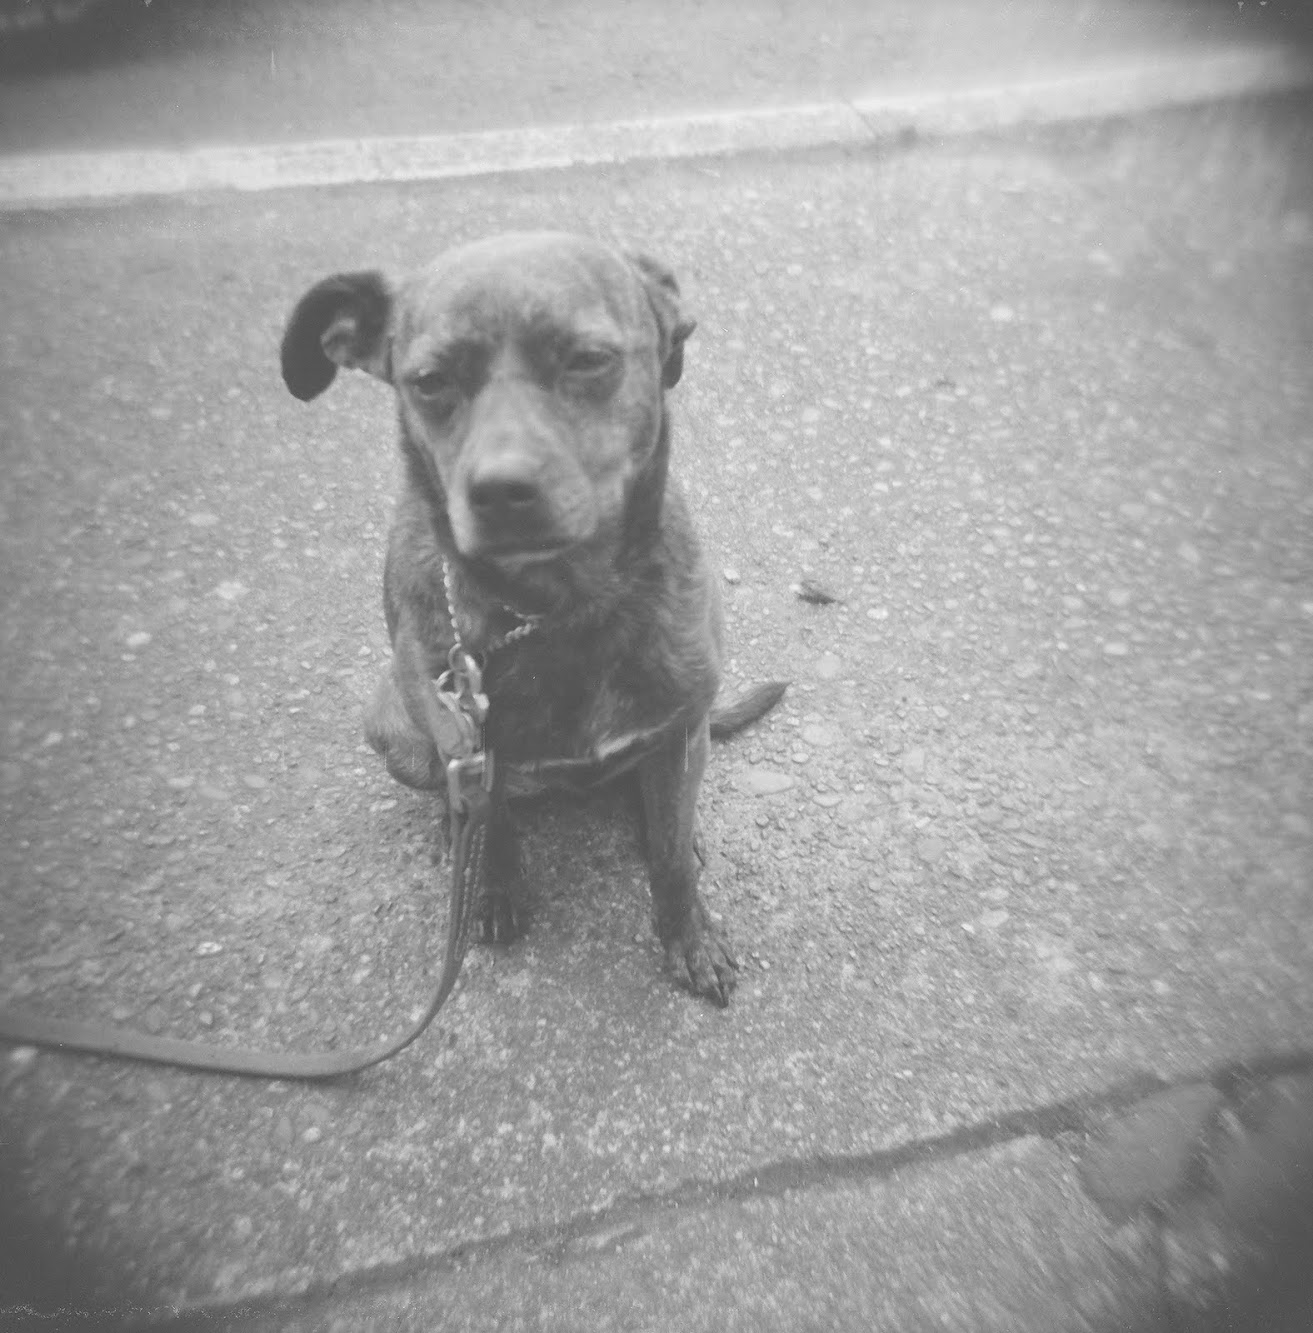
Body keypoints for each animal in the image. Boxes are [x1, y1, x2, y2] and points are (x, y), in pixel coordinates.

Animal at [280, 232, 784, 1006]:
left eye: (588, 358)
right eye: (429, 380)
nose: (499, 490)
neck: (556, 608)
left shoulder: (677, 729)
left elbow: (671, 861)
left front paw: (689, 935)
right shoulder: (472, 748)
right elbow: (495, 830)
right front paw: (491, 890)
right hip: (393, 723)